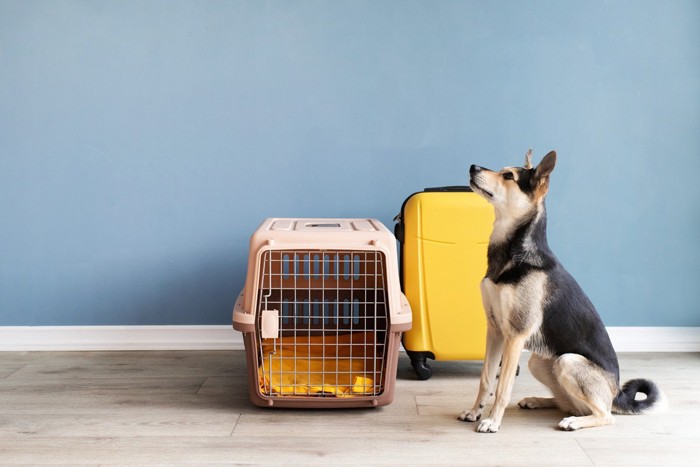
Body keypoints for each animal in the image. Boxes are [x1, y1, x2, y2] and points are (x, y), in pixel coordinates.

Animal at [456, 152, 664, 434]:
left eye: (508, 176)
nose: (472, 167)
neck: (515, 252)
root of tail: (616, 393)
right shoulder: (495, 331)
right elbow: (486, 380)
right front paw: (475, 412)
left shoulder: (515, 335)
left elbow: (502, 387)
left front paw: (492, 420)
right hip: (540, 361)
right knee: (570, 403)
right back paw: (538, 401)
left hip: (568, 361)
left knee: (604, 414)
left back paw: (575, 421)